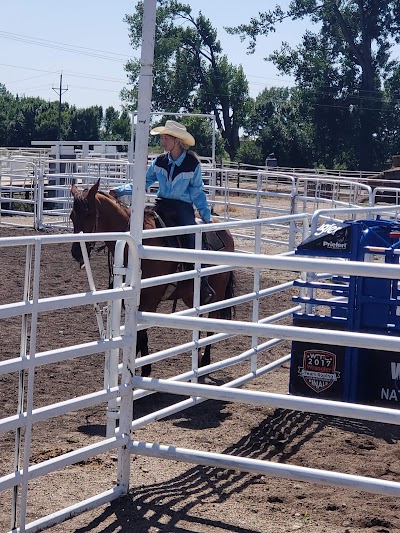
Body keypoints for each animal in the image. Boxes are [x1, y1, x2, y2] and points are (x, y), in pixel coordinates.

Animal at [70, 179, 236, 374]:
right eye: (72, 217)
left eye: (89, 214)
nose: (76, 253)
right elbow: (138, 336)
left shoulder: (149, 301)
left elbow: (141, 334)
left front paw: (144, 370)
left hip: (218, 289)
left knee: (212, 320)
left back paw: (206, 361)